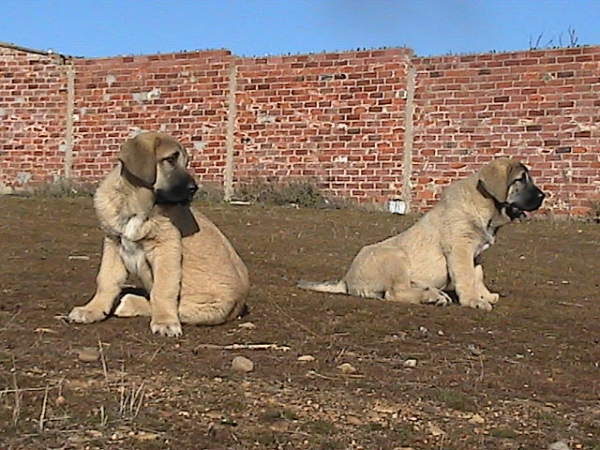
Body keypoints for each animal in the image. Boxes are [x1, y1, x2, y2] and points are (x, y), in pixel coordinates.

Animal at [68, 132, 248, 336]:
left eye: (186, 162)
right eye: (170, 160)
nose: (194, 189)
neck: (137, 206)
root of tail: (241, 305)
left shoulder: (166, 248)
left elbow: (163, 290)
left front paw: (165, 321)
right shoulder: (114, 243)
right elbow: (106, 280)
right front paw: (92, 310)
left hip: (206, 307)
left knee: (168, 304)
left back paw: (129, 303)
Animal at [298, 157, 548, 310]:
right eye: (521, 179)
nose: (543, 196)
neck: (487, 207)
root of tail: (346, 280)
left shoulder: (476, 254)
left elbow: (477, 275)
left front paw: (484, 295)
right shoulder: (460, 249)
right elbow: (466, 276)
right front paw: (473, 301)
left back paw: (433, 292)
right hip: (395, 256)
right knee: (395, 292)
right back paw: (430, 296)